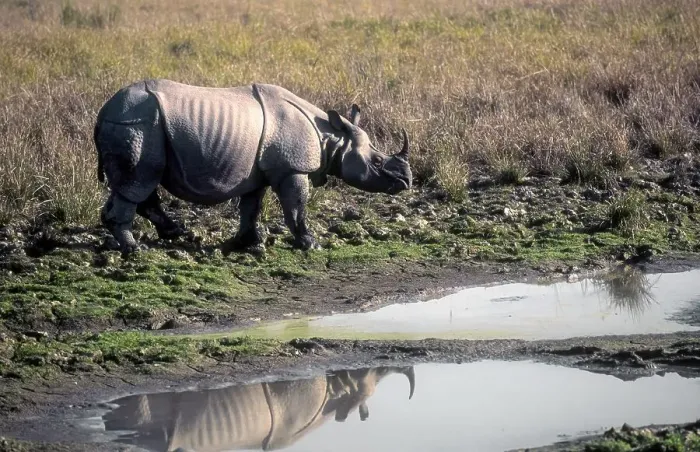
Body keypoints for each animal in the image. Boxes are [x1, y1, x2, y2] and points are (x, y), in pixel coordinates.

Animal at [94, 79, 412, 256]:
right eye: (377, 163)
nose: (406, 180)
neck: (331, 137)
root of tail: (103, 112)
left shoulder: (256, 172)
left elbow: (251, 206)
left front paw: (247, 242)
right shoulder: (292, 168)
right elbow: (296, 206)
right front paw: (311, 244)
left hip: (138, 127)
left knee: (139, 183)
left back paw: (175, 233)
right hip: (138, 126)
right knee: (139, 181)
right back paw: (135, 249)